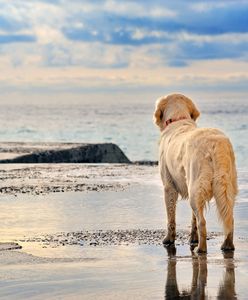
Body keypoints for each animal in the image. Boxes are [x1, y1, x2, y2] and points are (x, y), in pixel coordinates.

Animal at [153, 94, 238, 253]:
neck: (178, 119)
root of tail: (215, 143)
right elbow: (192, 218)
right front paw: (193, 238)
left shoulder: (169, 186)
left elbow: (171, 217)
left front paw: (168, 240)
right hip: (224, 185)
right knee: (229, 217)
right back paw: (227, 245)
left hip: (196, 184)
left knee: (202, 222)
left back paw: (201, 249)